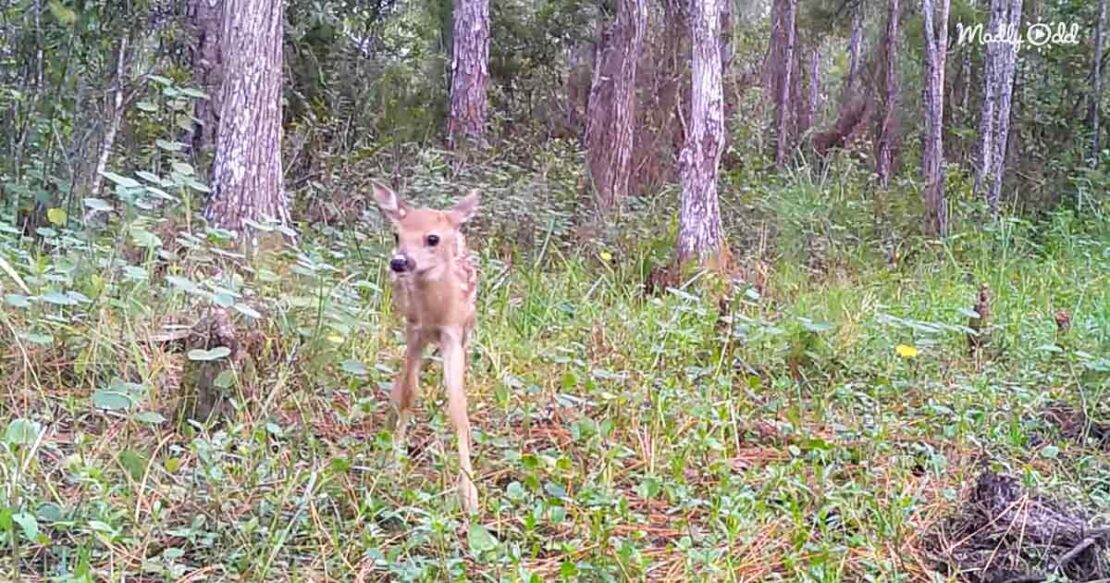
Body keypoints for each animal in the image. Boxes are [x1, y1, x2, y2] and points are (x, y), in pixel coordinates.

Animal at [371, 182, 481, 513]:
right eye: (396, 234)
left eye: (432, 238)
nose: (399, 262)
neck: (437, 313)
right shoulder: (415, 330)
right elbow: (409, 394)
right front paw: (393, 465)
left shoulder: (454, 335)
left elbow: (459, 410)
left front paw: (469, 496)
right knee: (401, 384)